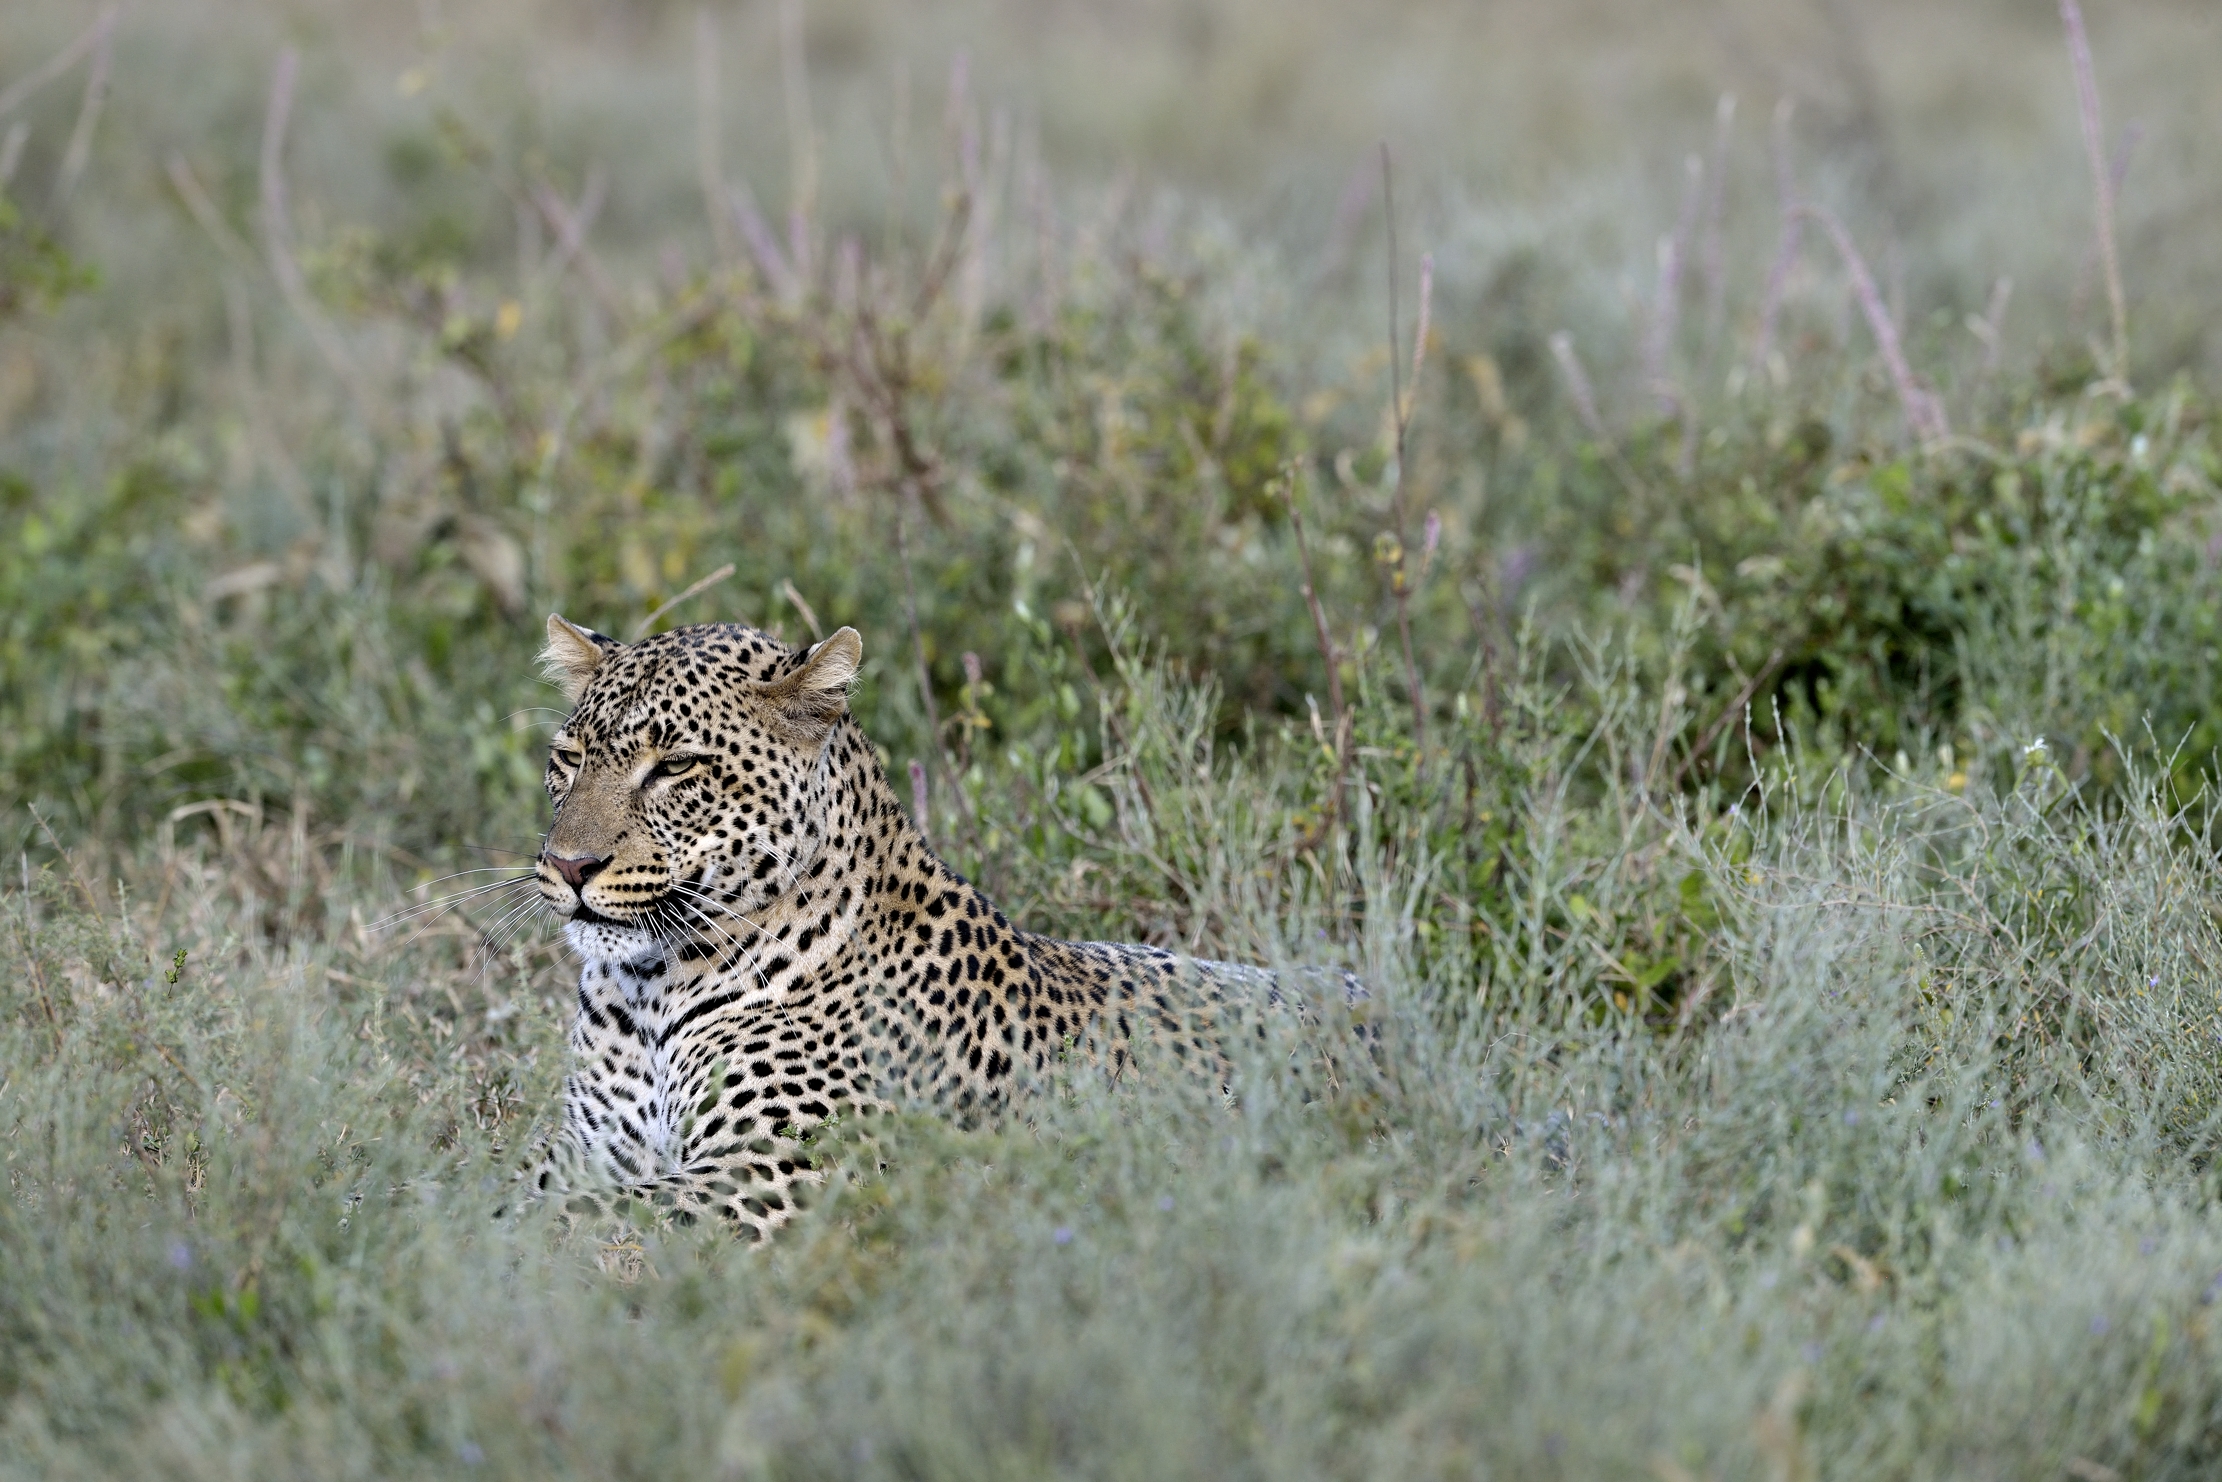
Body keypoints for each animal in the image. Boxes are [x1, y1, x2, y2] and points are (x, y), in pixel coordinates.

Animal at [517, 613, 1306, 1241]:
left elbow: (566, 1219)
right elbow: (521, 1190)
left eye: (676, 765)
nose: (568, 865)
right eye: (569, 758)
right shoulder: (584, 1155)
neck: (648, 989)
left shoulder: (777, 1171)